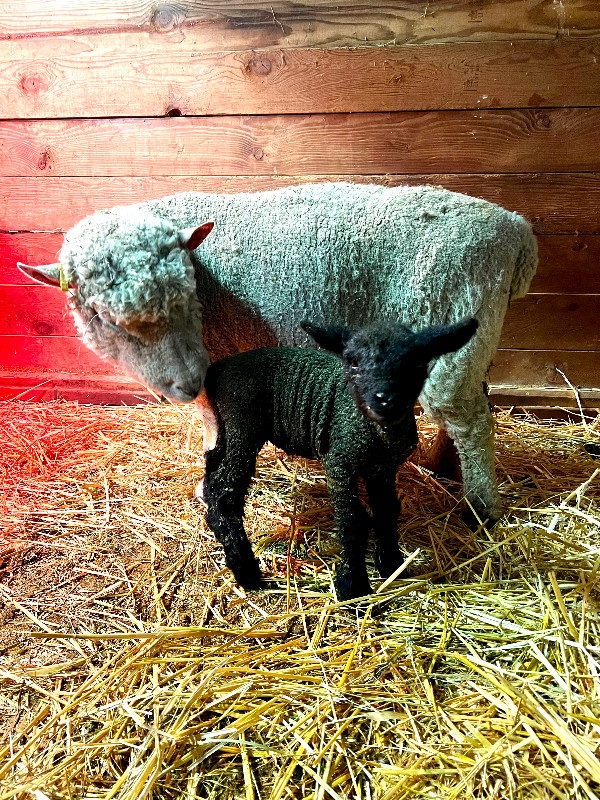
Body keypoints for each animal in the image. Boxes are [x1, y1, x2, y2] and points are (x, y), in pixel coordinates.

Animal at [21, 182, 540, 520]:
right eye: (105, 318)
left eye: (186, 292)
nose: (187, 381)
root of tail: (516, 233)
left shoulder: (217, 356)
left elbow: (213, 422)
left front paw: (210, 483)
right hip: (471, 344)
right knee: (476, 400)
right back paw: (441, 467)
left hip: (451, 324)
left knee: (470, 419)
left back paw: (479, 506)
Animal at [197, 318, 478, 600]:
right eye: (352, 361)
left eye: (417, 362)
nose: (386, 400)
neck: (377, 434)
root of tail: (221, 366)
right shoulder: (340, 462)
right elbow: (353, 520)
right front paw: (353, 586)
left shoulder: (384, 468)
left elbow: (387, 510)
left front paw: (392, 565)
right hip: (243, 427)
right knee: (225, 495)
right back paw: (247, 572)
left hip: (228, 428)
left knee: (213, 465)